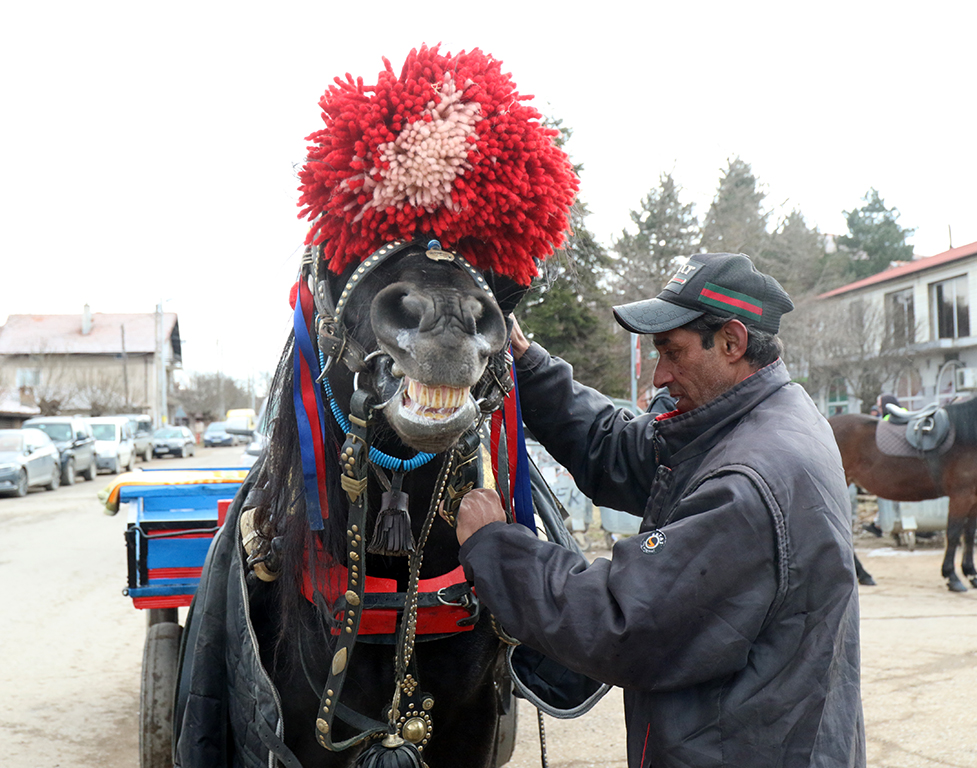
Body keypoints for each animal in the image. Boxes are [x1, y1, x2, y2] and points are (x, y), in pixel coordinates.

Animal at [828, 402, 976, 592]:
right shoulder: (961, 495)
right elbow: (954, 534)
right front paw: (952, 576)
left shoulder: (973, 498)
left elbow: (969, 535)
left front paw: (971, 574)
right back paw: (863, 574)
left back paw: (863, 575)